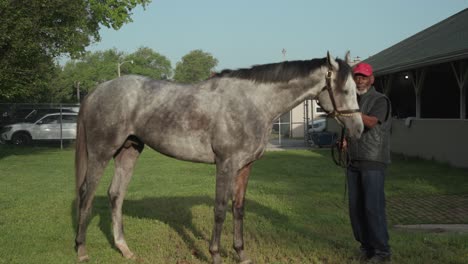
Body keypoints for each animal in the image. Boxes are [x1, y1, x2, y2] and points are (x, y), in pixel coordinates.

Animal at [75, 52, 364, 264]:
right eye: (344, 90)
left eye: (356, 90)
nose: (358, 129)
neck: (252, 103)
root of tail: (97, 90)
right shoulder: (226, 165)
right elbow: (220, 210)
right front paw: (215, 255)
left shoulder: (245, 167)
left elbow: (238, 209)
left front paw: (242, 254)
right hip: (101, 153)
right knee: (86, 195)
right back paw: (81, 250)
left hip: (129, 150)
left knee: (115, 195)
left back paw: (124, 249)